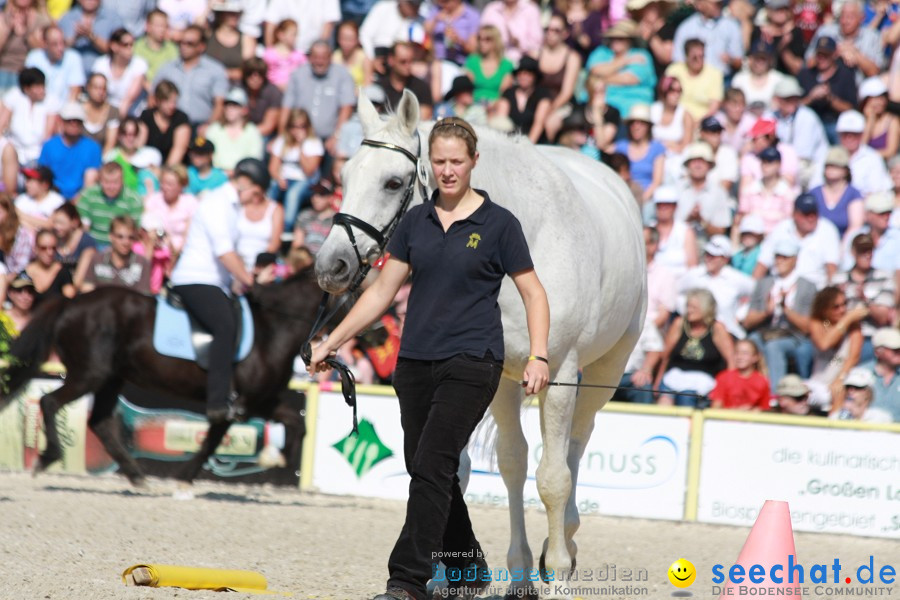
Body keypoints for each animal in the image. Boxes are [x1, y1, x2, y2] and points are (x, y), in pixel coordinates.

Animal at [2, 268, 326, 488]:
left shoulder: (260, 400)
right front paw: (184, 479)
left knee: (100, 423)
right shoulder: (238, 403)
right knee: (50, 402)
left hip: (111, 379)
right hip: (89, 375)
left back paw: (136, 476)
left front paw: (278, 457)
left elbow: (298, 423)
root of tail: (70, 303)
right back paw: (48, 456)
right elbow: (211, 441)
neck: (273, 328)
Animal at [316, 90, 648, 600]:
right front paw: (443, 574)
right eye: (346, 176)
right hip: (509, 384)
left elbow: (554, 478)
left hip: (606, 370)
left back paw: (565, 545)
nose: (330, 265)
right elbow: (473, 466)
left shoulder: (562, 376)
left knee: (576, 443)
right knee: (514, 463)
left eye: (393, 182)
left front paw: (557, 574)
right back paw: (521, 572)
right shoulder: (486, 376)